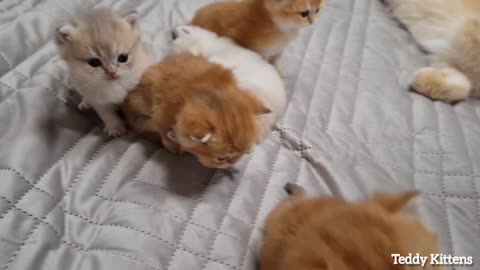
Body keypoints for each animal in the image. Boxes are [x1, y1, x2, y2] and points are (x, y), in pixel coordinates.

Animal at [122, 51, 270, 168]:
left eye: (241, 154)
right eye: (221, 159)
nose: (233, 163)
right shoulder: (160, 118)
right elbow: (166, 136)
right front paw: (175, 147)